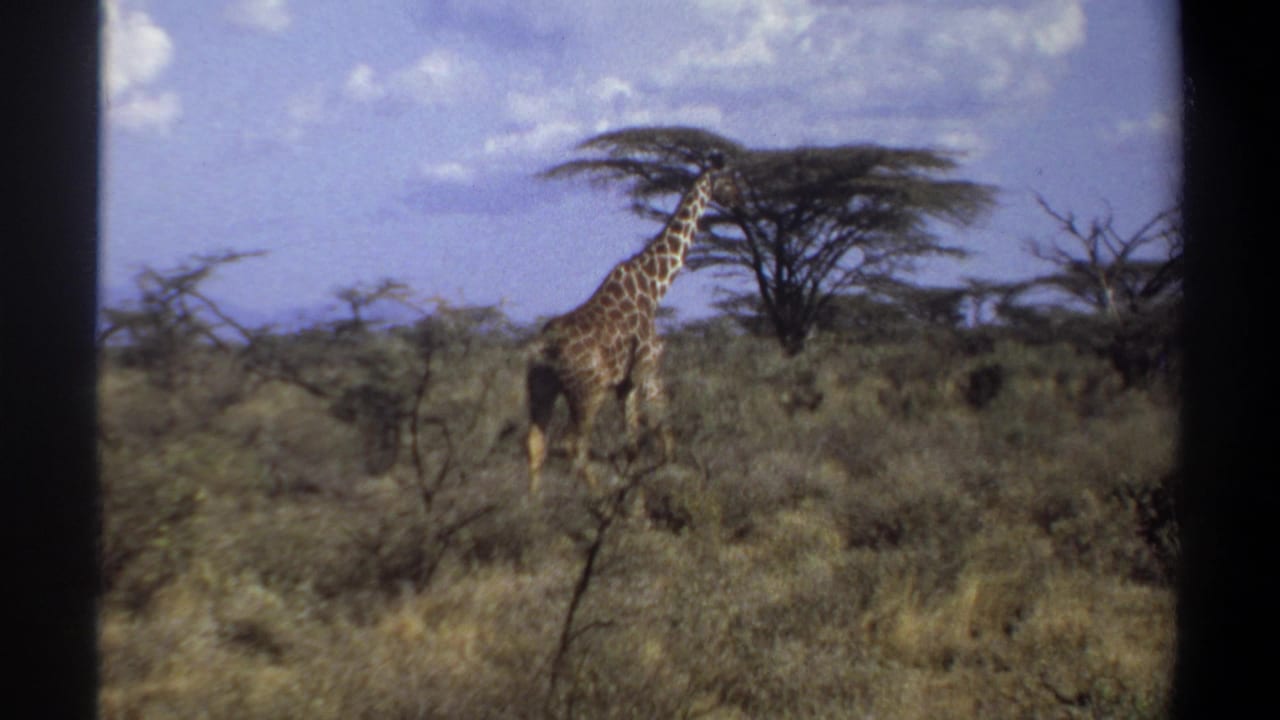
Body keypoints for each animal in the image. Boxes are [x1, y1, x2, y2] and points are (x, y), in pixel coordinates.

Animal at [526, 155, 740, 494]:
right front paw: (638, 497)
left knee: (536, 442)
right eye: (730, 180)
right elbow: (647, 439)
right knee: (572, 445)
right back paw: (597, 496)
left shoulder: (626, 383)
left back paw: (533, 504)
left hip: (540, 387)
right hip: (587, 392)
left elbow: (642, 441)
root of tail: (547, 347)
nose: (740, 202)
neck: (653, 288)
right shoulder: (644, 371)